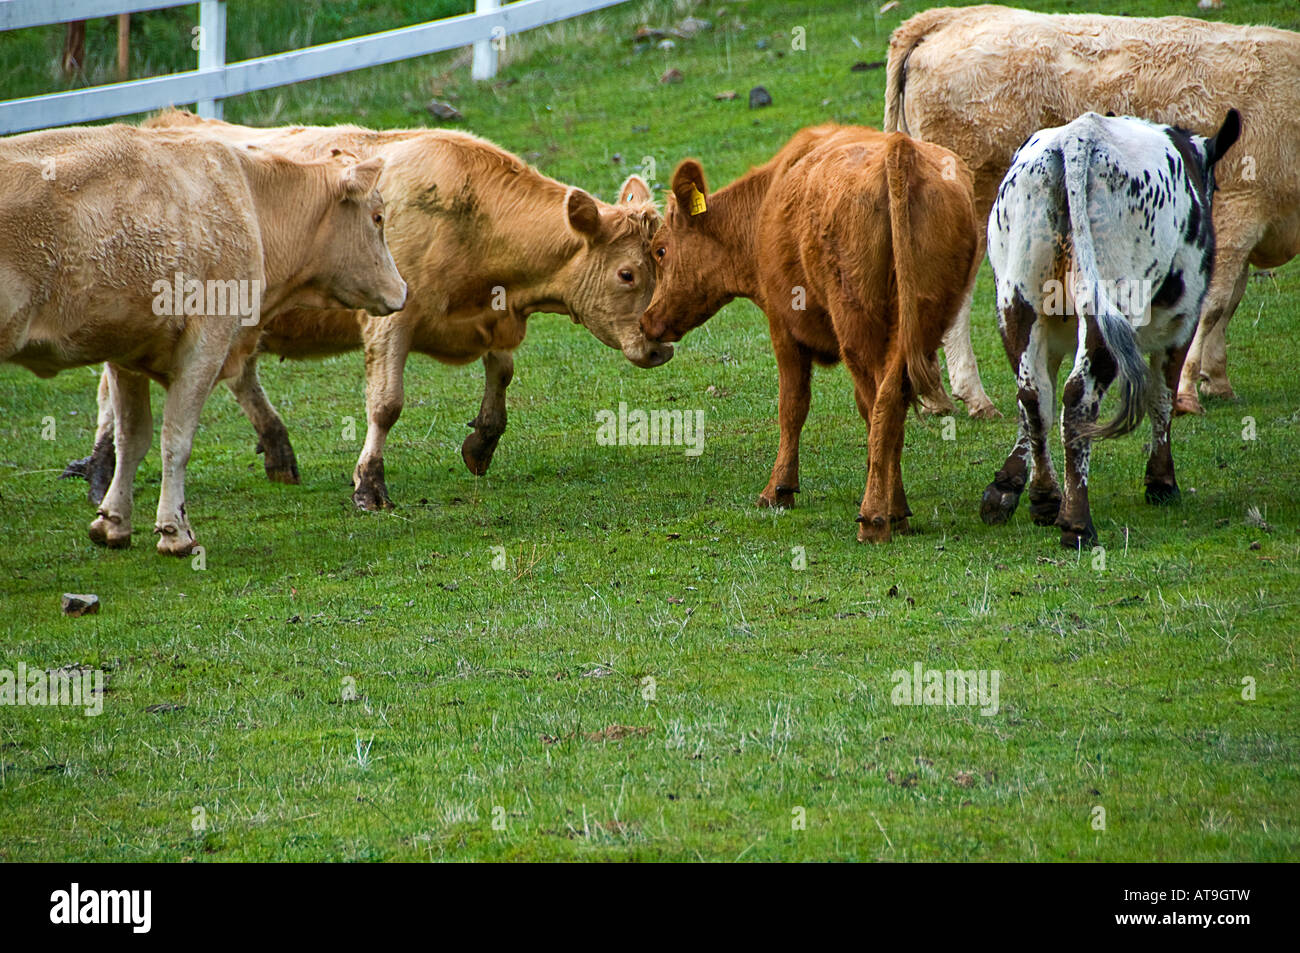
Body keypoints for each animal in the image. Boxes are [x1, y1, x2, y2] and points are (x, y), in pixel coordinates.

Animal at [1, 123, 407, 554]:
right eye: (378, 217)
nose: (403, 291)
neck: (250, 201)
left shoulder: (124, 352)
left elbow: (132, 439)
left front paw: (113, 522)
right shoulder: (206, 344)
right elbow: (176, 440)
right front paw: (174, 531)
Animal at [69, 110, 668, 510]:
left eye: (662, 262)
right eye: (627, 274)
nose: (660, 343)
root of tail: (165, 122)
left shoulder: (493, 321)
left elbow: (502, 374)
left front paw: (482, 441)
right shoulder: (390, 319)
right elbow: (387, 405)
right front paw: (369, 484)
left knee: (238, 373)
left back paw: (277, 449)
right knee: (110, 384)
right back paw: (101, 468)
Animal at [639, 124, 979, 543]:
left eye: (660, 251)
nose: (647, 321)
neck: (764, 205)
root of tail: (900, 149)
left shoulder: (782, 325)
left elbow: (792, 406)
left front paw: (778, 489)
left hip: (858, 326)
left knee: (881, 405)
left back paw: (874, 516)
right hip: (921, 320)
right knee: (893, 404)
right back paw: (894, 510)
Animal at [885, 4, 1300, 416]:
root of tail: (949, 16)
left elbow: (1229, 302)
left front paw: (1217, 380)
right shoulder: (1241, 209)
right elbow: (1215, 303)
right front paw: (1186, 391)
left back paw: (935, 397)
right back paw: (973, 396)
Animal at [979, 110, 1241, 548]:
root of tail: (1078, 136)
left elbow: (1035, 401)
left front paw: (1010, 486)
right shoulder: (1182, 323)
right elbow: (1163, 396)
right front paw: (1162, 482)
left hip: (1016, 296)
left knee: (1033, 394)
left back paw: (1045, 497)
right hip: (1112, 302)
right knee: (1077, 397)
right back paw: (1076, 523)